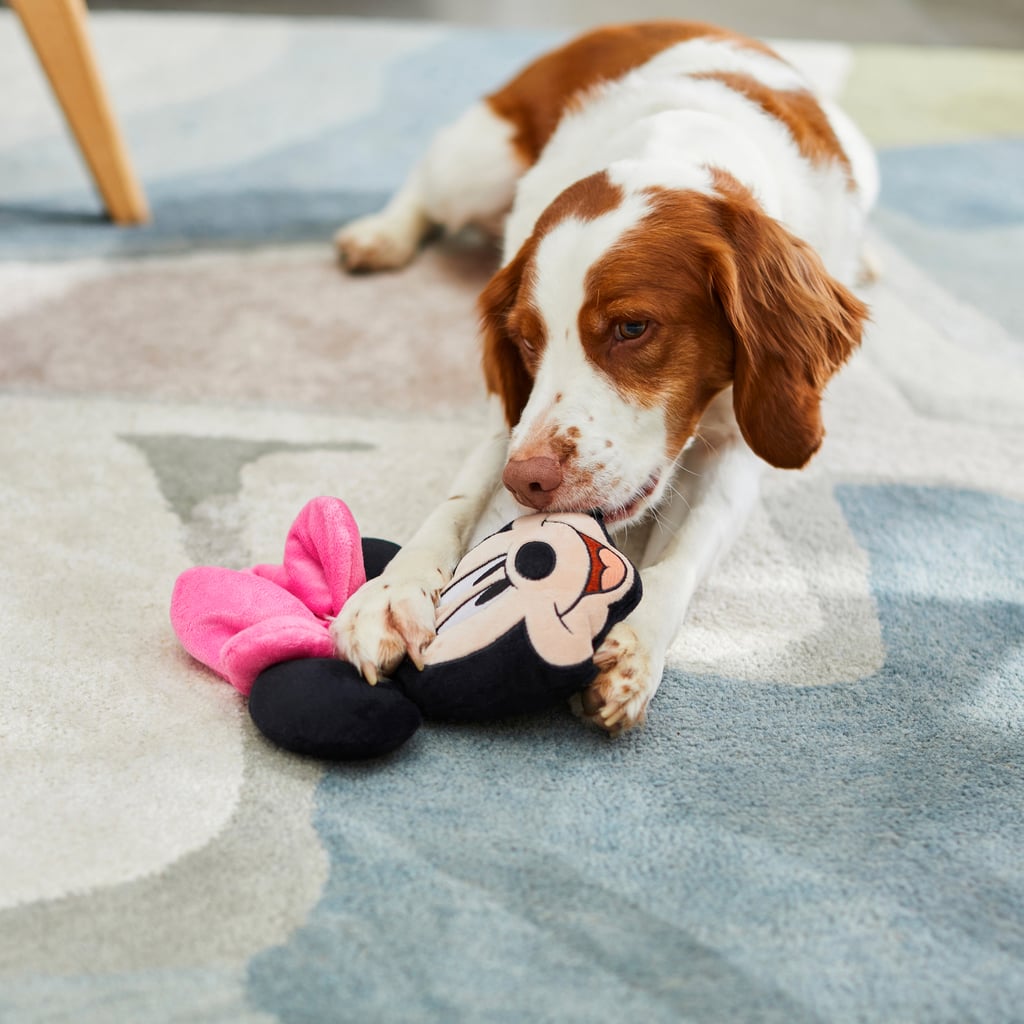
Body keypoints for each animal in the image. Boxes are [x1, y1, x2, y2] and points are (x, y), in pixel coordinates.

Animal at [331, 19, 876, 733]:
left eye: (632, 327)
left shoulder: (747, 434)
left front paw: (634, 649)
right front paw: (391, 595)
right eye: (525, 340)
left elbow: (681, 557)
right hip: (477, 163)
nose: (529, 483)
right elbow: (455, 501)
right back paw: (381, 234)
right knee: (426, 183)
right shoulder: (513, 418)